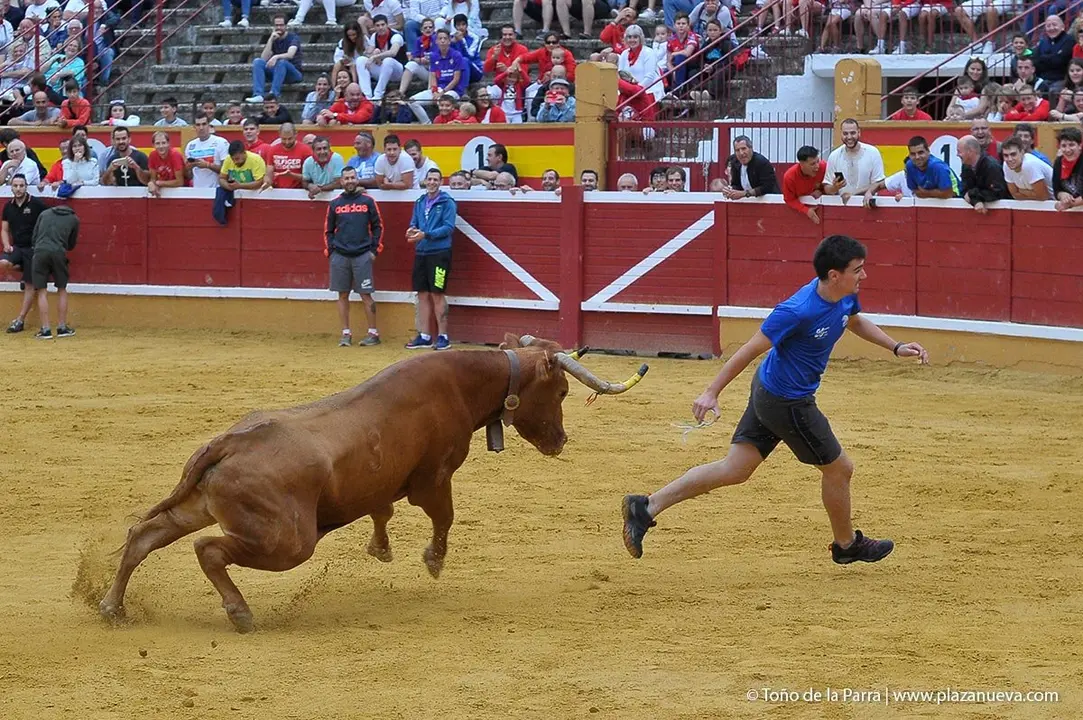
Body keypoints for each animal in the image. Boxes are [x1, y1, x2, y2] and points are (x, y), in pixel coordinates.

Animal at [99, 334, 648, 633]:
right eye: (561, 391)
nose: (560, 441)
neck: (463, 383)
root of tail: (229, 442)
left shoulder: (385, 483)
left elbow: (381, 509)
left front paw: (380, 550)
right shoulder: (435, 478)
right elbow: (444, 517)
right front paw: (432, 561)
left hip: (197, 506)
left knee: (142, 537)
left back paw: (111, 607)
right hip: (289, 541)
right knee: (208, 550)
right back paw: (240, 613)